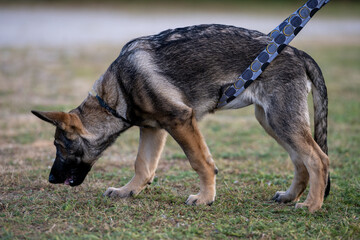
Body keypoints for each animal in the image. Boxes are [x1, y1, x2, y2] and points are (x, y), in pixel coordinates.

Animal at [31, 23, 330, 212]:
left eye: (59, 146)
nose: (51, 179)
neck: (117, 93)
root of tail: (298, 52)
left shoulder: (181, 120)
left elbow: (201, 162)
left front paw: (206, 198)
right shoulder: (153, 129)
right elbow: (143, 166)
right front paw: (128, 191)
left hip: (282, 120)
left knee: (318, 159)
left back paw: (312, 205)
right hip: (272, 121)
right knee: (300, 160)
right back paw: (290, 196)